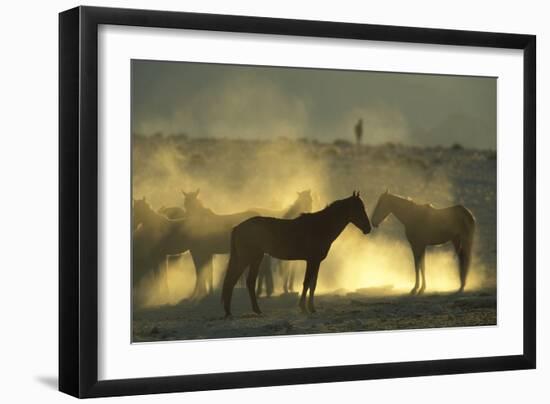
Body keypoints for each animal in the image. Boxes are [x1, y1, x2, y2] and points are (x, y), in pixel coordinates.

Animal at [222, 191, 374, 318]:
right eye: (359, 208)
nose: (368, 228)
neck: (321, 226)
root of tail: (238, 227)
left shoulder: (316, 261)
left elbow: (313, 284)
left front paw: (311, 308)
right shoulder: (312, 260)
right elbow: (306, 283)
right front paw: (304, 308)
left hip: (255, 259)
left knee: (248, 282)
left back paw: (251, 310)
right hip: (248, 259)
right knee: (233, 281)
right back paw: (231, 312)